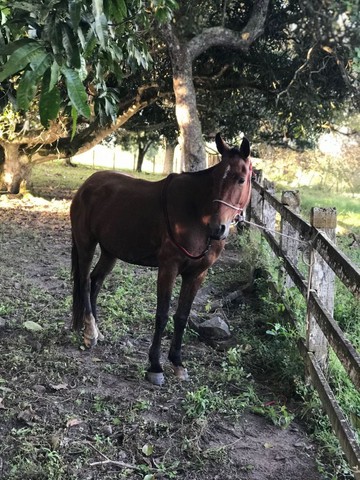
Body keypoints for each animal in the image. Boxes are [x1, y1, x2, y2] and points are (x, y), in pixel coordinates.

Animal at [69, 134, 250, 386]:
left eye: (241, 180)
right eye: (215, 181)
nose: (218, 229)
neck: (196, 214)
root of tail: (87, 185)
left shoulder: (197, 274)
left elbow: (182, 316)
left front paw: (177, 363)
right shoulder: (168, 268)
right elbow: (162, 314)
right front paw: (155, 366)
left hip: (109, 251)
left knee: (96, 282)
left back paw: (95, 329)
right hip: (86, 244)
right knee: (85, 283)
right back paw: (90, 333)